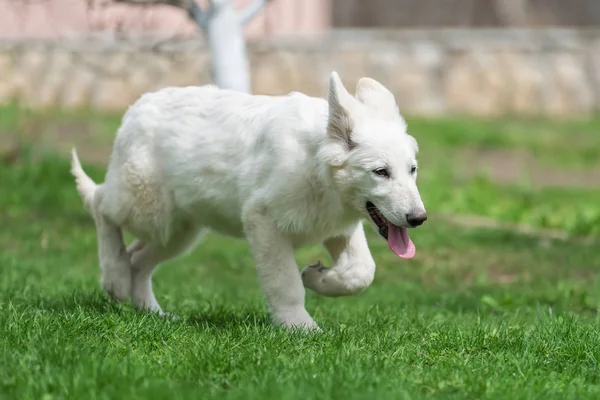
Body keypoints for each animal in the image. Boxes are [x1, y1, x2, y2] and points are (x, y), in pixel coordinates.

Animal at [71, 72, 426, 332]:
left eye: (412, 170)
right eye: (381, 172)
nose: (419, 219)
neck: (317, 168)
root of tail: (137, 106)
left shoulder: (338, 226)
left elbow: (361, 272)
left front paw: (317, 278)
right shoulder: (263, 221)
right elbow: (285, 283)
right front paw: (300, 328)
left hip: (177, 231)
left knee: (138, 259)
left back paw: (151, 311)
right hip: (147, 207)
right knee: (101, 205)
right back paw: (114, 277)